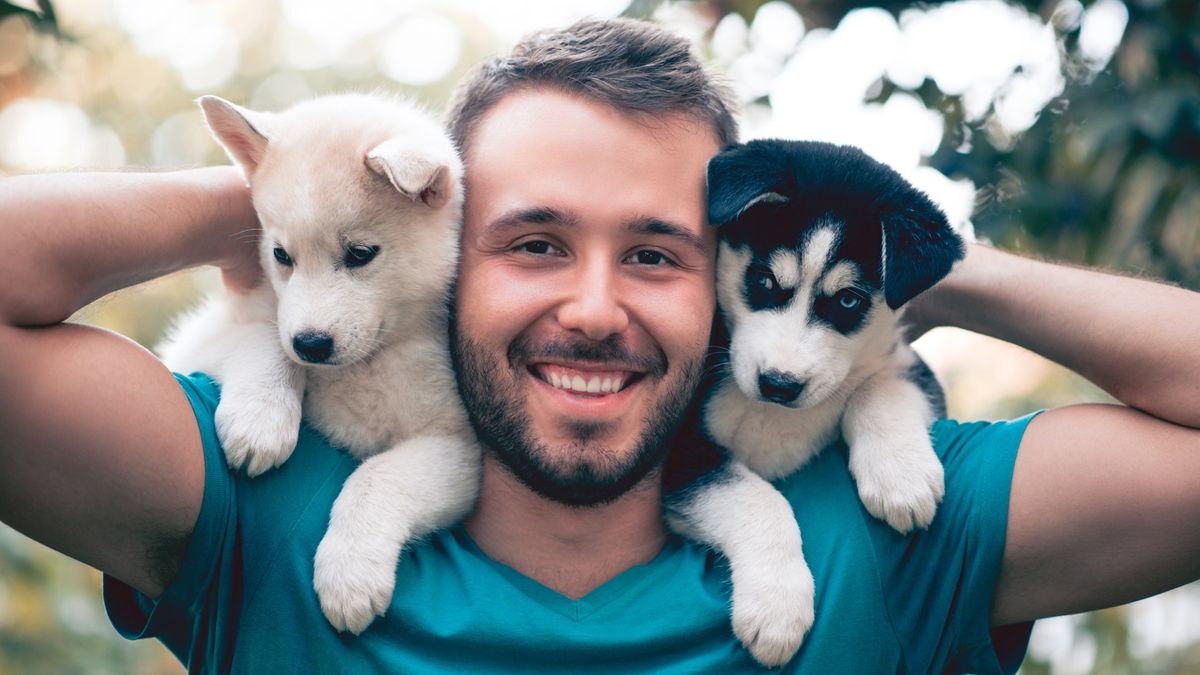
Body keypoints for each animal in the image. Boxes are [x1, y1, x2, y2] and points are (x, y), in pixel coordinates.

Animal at [158, 93, 477, 629]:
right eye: (281, 255)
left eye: (361, 253)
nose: (309, 344)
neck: (366, 366)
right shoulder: (213, 335)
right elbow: (263, 339)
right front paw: (261, 421)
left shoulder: (459, 448)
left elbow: (378, 476)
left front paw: (348, 575)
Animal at [667, 136, 964, 662]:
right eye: (764, 280)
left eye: (847, 301)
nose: (779, 384)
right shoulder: (681, 454)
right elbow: (755, 496)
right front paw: (777, 606)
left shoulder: (906, 364)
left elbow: (880, 386)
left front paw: (900, 476)